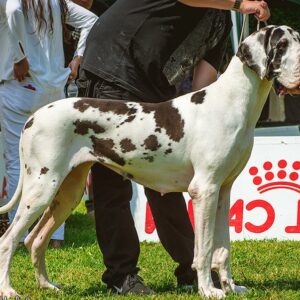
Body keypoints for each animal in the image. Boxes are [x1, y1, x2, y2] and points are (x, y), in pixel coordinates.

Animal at [0, 25, 300, 298]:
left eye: (297, 39)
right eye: (281, 45)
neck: (234, 101)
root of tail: (34, 117)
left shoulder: (222, 191)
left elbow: (223, 249)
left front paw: (230, 287)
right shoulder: (204, 191)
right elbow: (203, 249)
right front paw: (208, 289)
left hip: (67, 193)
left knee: (35, 239)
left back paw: (46, 286)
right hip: (41, 188)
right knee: (8, 240)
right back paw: (9, 290)